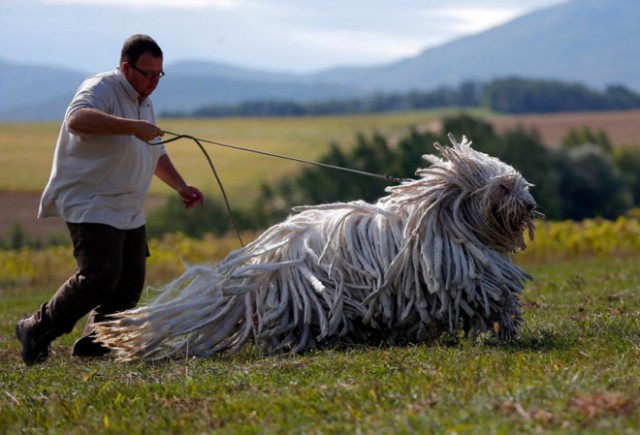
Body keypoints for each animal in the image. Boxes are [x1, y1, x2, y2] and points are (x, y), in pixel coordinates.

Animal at [96, 134, 540, 362]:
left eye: (519, 182)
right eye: (503, 187)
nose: (530, 205)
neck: (444, 217)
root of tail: (259, 262)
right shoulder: (465, 275)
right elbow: (494, 296)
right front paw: (507, 326)